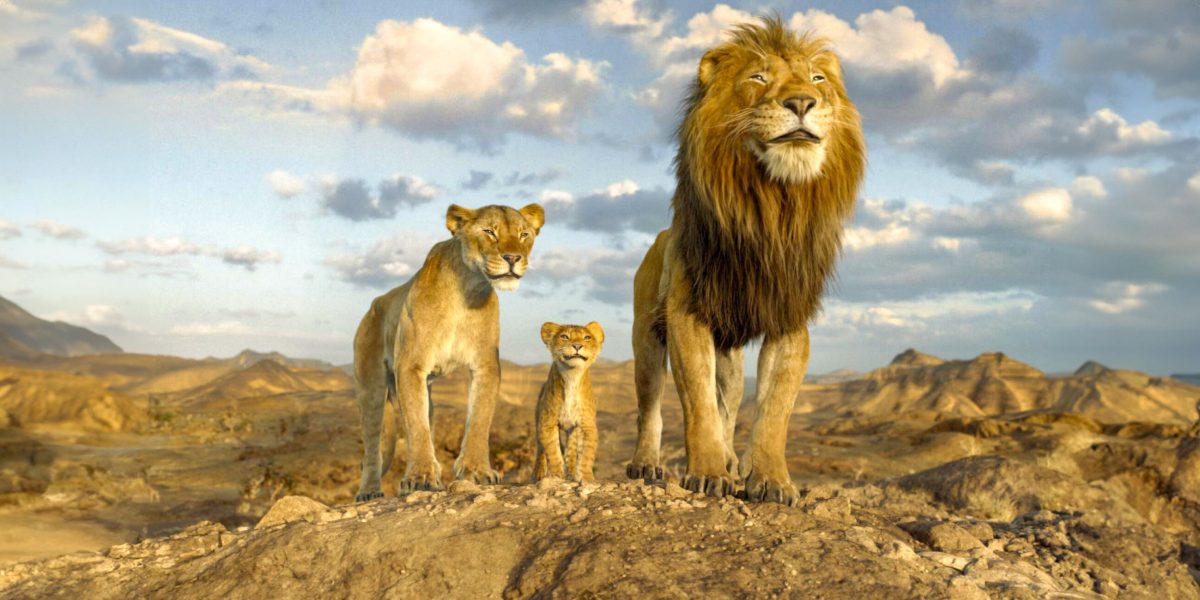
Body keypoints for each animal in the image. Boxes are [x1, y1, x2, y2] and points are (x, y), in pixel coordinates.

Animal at [353, 202, 544, 501]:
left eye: (524, 234)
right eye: (489, 232)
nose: (513, 257)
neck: (467, 288)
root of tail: (375, 304)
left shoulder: (485, 365)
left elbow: (479, 418)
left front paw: (477, 470)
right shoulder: (410, 365)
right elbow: (416, 426)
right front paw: (420, 477)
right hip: (371, 386)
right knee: (373, 445)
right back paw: (369, 491)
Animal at [532, 321, 604, 483]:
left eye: (587, 337)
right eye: (564, 336)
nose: (577, 345)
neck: (572, 375)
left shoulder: (587, 425)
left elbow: (586, 455)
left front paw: (586, 478)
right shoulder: (547, 423)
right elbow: (553, 452)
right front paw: (556, 476)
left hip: (573, 430)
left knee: (571, 450)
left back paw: (571, 472)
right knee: (540, 449)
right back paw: (538, 473)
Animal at [625, 17, 866, 505]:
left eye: (818, 79)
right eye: (758, 77)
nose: (801, 102)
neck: (772, 207)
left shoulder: (789, 317)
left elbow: (774, 410)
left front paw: (771, 480)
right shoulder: (687, 314)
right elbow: (697, 404)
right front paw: (707, 472)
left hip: (730, 357)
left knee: (730, 404)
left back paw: (732, 459)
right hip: (646, 338)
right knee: (650, 406)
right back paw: (646, 464)